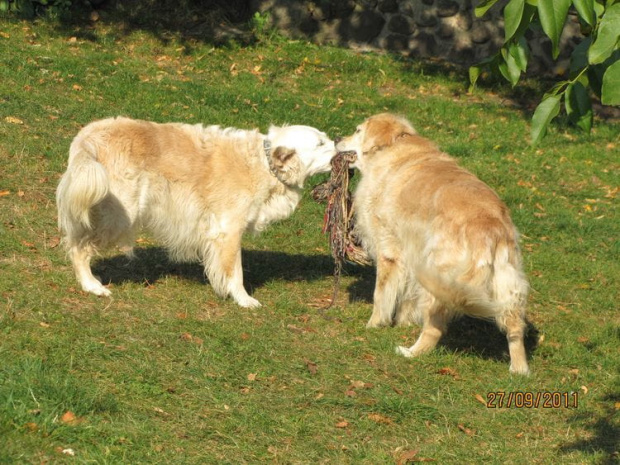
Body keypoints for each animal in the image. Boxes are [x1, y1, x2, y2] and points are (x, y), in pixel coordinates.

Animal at [57, 116, 340, 306]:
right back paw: (92, 286)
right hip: (120, 217)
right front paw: (243, 300)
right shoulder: (228, 230)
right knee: (78, 248)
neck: (264, 162)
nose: (342, 144)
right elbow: (235, 272)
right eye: (320, 143)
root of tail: (87, 136)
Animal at [336, 112, 532, 374]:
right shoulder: (411, 253)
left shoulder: (390, 249)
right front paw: (403, 322)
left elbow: (381, 294)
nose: (337, 138)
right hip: (506, 283)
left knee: (434, 328)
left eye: (358, 131)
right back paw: (519, 370)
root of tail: (489, 226)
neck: (395, 145)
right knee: (515, 328)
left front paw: (374, 324)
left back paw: (409, 352)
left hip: (438, 280)